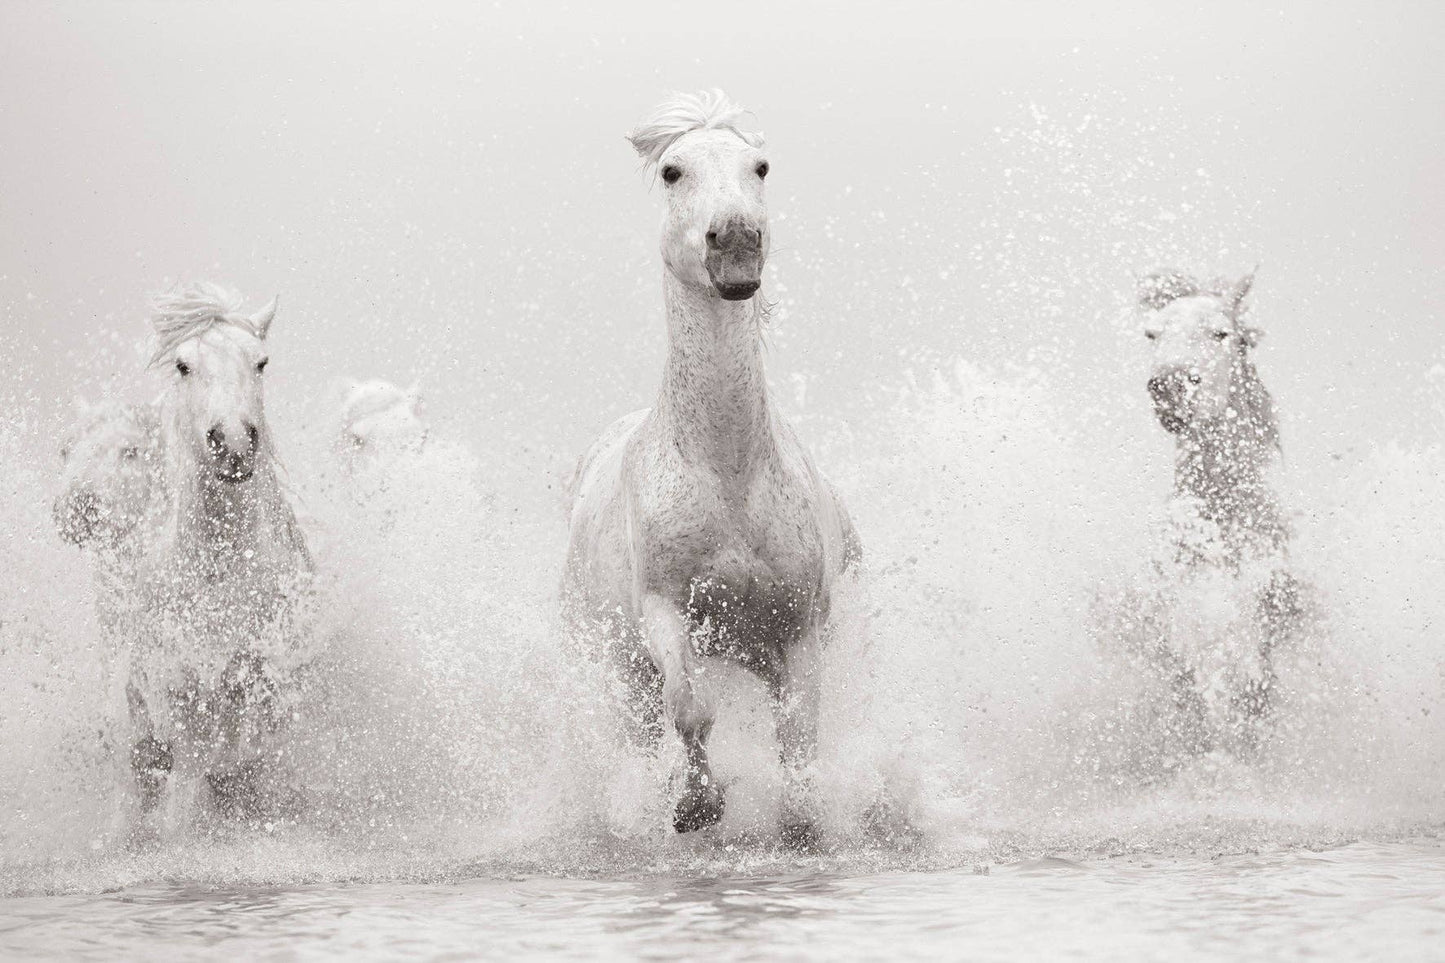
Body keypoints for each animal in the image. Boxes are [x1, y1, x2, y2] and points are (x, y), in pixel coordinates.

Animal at [127, 283, 314, 820]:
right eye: (182, 365)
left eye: (262, 362)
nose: (232, 442)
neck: (219, 570)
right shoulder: (176, 693)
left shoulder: (260, 689)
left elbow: (240, 768)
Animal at [563, 91, 861, 847]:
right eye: (673, 170)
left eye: (760, 166)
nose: (735, 242)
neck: (727, 474)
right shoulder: (664, 610)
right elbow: (691, 708)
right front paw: (696, 805)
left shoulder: (799, 629)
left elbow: (798, 737)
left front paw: (799, 823)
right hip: (618, 670)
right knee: (643, 730)